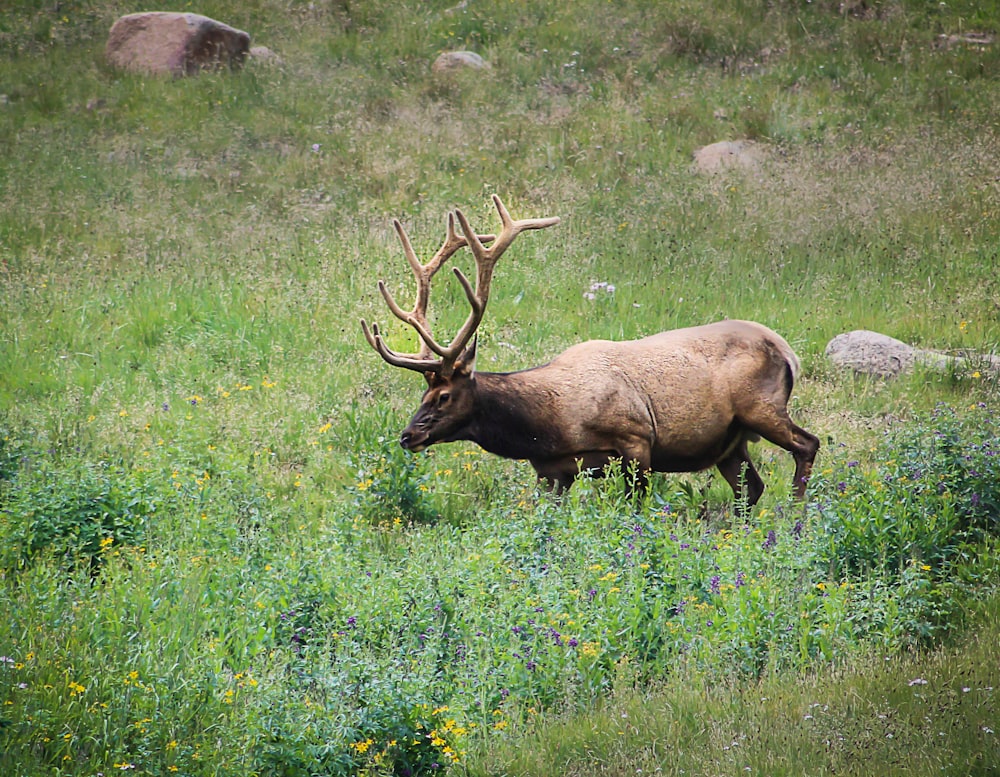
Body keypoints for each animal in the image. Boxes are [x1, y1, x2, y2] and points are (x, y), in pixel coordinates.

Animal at [364, 196, 816, 504]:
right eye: (422, 394)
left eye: (443, 396)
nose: (407, 435)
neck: (550, 426)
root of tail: (788, 351)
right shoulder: (552, 470)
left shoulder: (636, 439)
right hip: (730, 441)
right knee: (751, 489)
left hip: (762, 407)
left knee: (807, 445)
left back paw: (795, 513)